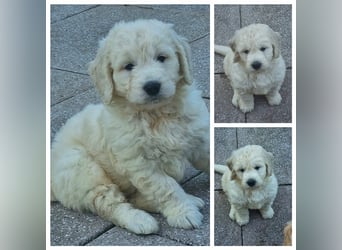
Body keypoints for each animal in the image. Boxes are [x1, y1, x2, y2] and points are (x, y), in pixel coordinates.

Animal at [49, 20, 210, 234]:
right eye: (128, 66)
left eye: (161, 58)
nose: (152, 86)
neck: (157, 115)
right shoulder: (140, 163)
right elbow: (166, 188)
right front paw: (183, 213)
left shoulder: (199, 138)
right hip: (82, 168)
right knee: (110, 203)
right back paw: (141, 220)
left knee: (135, 198)